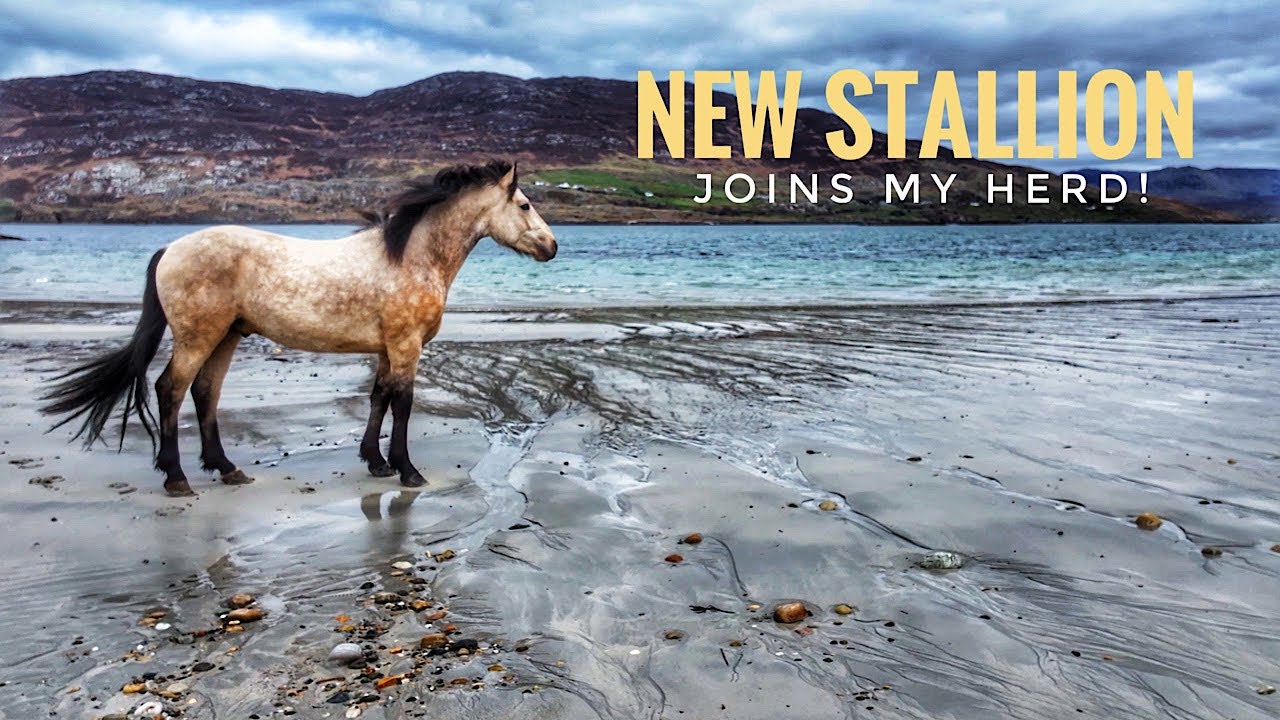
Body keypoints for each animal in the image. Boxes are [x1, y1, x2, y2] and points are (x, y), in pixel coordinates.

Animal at [41, 160, 556, 497]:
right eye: (525, 205)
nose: (552, 247)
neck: (410, 257)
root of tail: (171, 248)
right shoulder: (405, 345)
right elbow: (404, 404)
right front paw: (408, 471)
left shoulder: (386, 347)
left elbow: (379, 398)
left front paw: (376, 463)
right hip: (197, 336)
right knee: (171, 389)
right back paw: (177, 478)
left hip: (227, 336)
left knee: (205, 392)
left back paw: (226, 468)